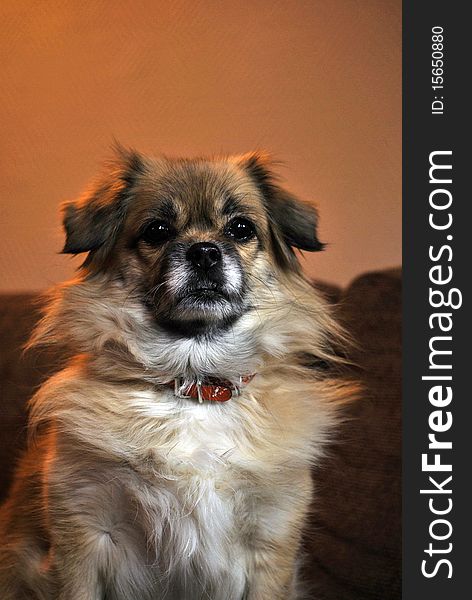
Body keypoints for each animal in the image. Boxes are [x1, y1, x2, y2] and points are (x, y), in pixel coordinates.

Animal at [0, 146, 352, 600]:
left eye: (241, 229)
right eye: (157, 230)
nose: (204, 251)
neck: (195, 384)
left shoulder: (271, 543)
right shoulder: (81, 536)